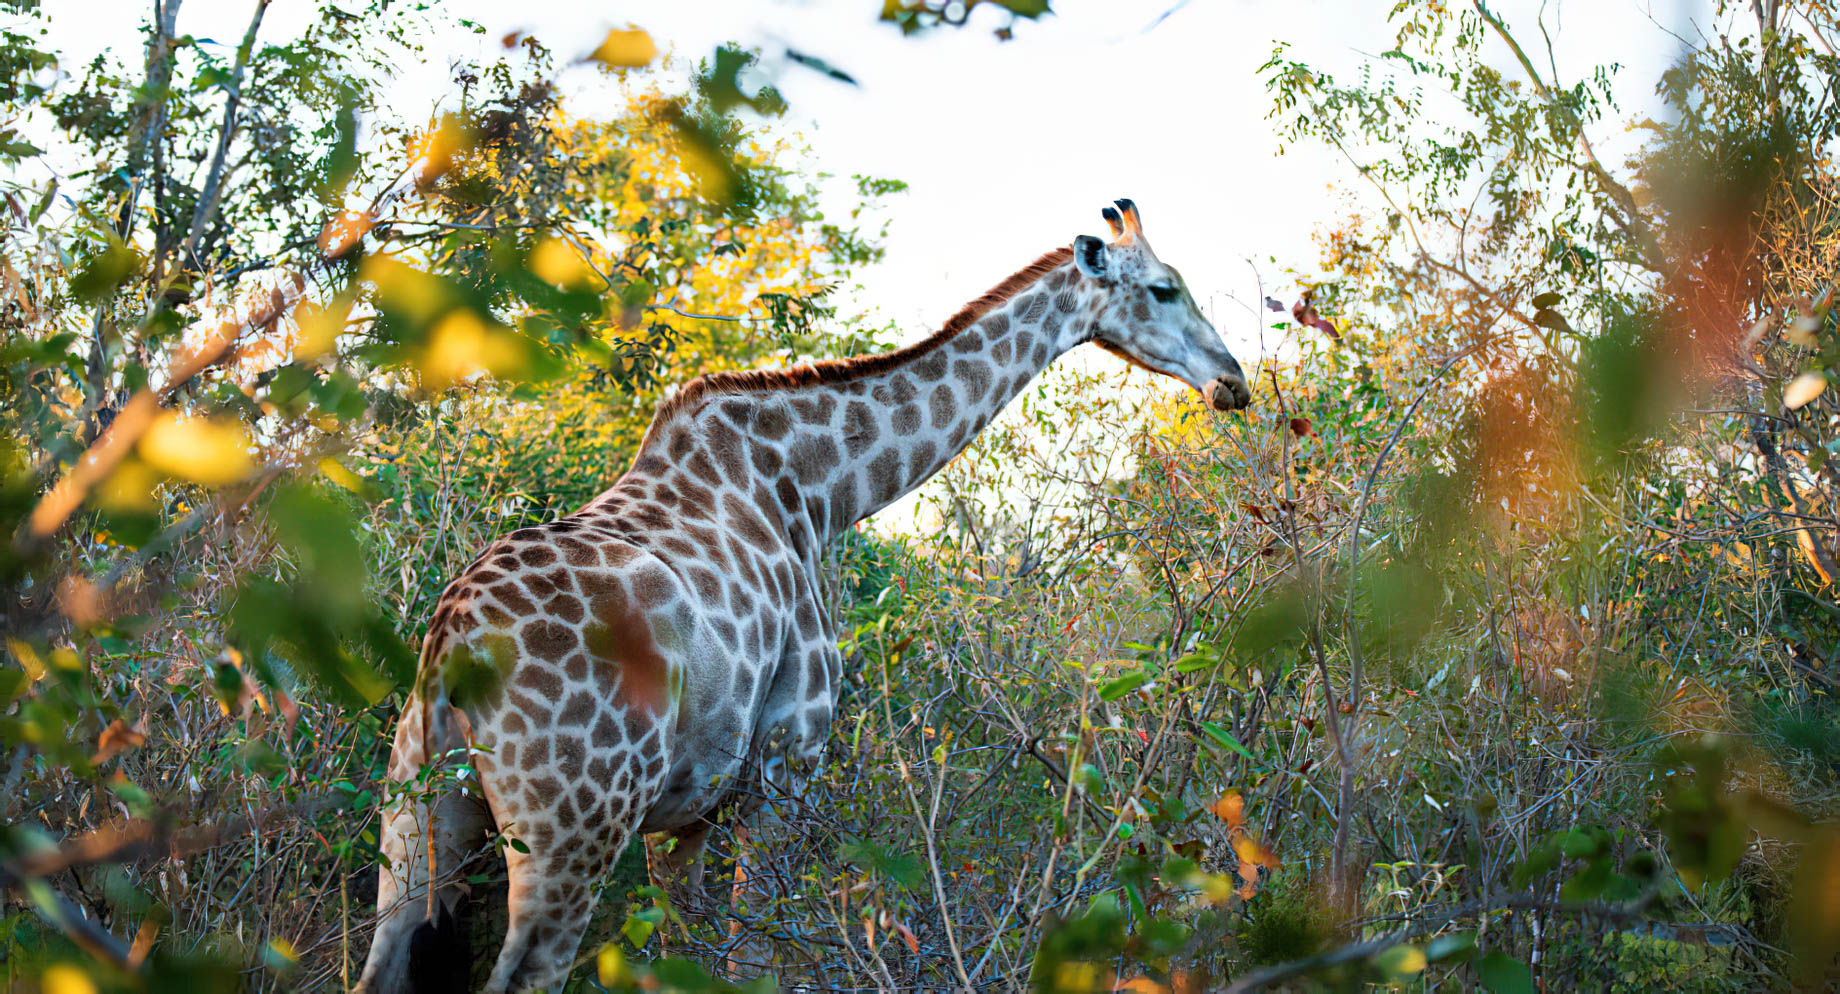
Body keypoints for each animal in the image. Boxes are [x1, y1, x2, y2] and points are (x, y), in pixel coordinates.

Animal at [354, 199, 1250, 992]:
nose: (1233, 381)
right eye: (1163, 287)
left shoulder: (688, 811)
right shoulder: (788, 762)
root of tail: (450, 648)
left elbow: (686, 959)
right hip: (574, 821)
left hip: (415, 818)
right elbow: (752, 960)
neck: (818, 491)